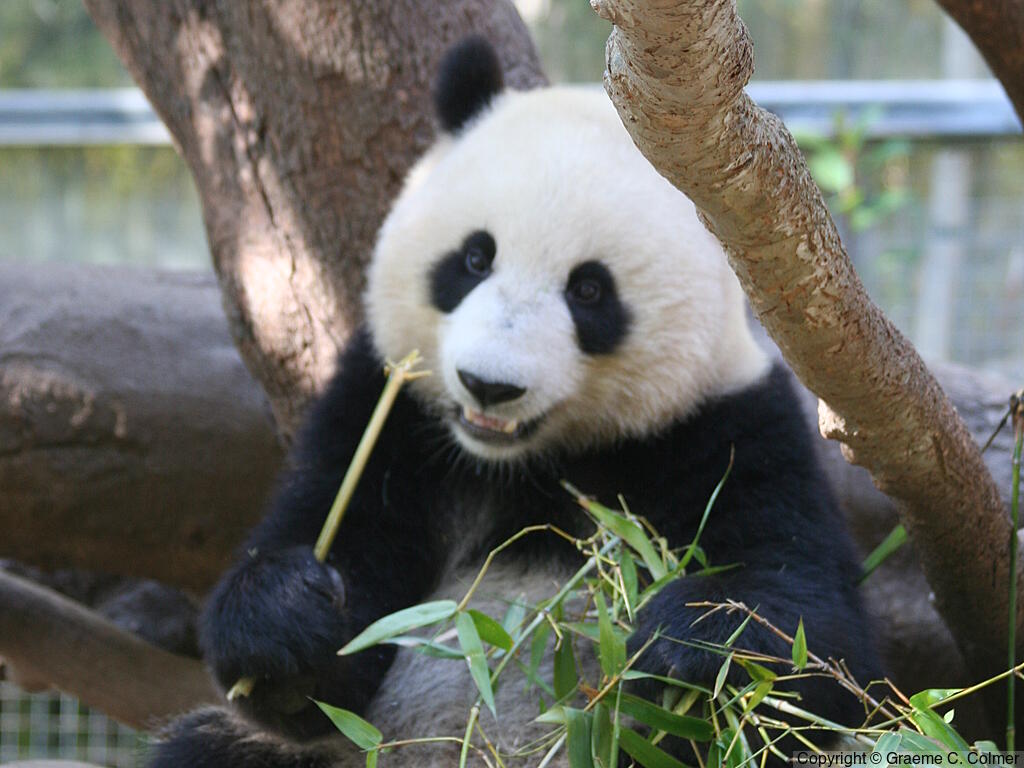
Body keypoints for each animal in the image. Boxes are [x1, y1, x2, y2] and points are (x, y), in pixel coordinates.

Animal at [150, 37, 882, 768]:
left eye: (589, 291)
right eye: (474, 259)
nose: (489, 385)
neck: (529, 459)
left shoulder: (721, 425)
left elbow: (815, 639)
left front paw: (690, 638)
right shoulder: (389, 416)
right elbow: (334, 592)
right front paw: (287, 611)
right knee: (211, 746)